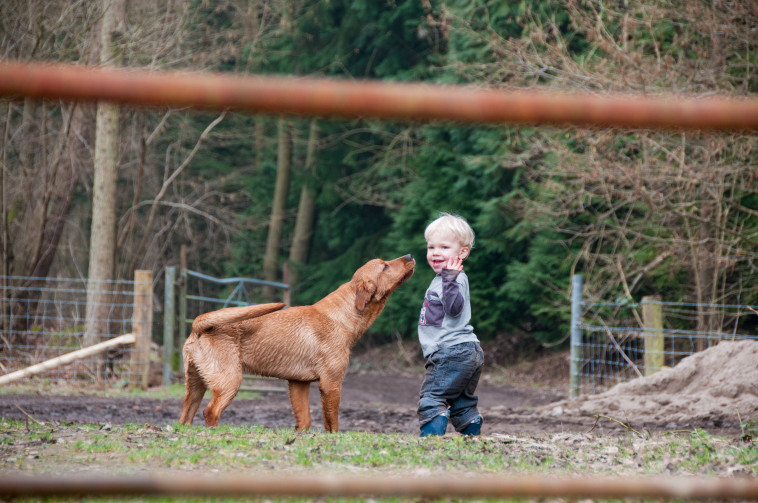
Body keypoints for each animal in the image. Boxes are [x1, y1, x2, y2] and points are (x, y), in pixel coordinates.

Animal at [178, 256, 416, 434]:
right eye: (385, 266)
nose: (410, 256)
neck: (343, 315)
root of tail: (199, 324)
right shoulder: (331, 384)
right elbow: (332, 424)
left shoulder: (298, 384)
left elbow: (304, 420)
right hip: (230, 381)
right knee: (211, 412)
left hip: (195, 386)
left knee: (185, 416)